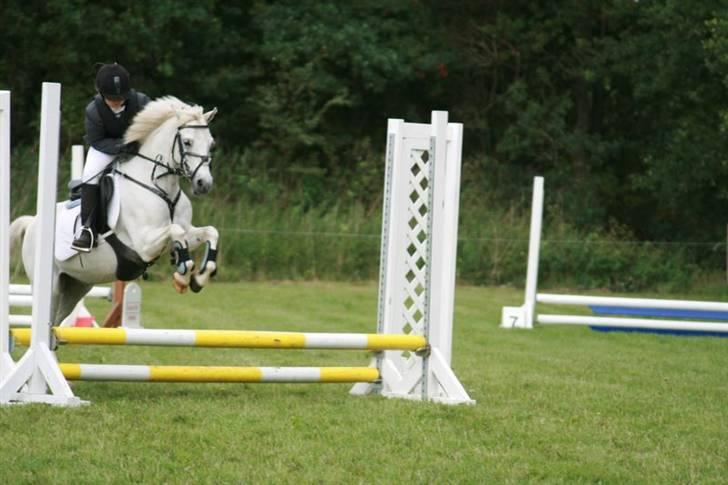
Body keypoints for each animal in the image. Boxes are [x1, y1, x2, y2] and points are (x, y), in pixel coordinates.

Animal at [9, 96, 220, 325]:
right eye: (188, 142)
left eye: (211, 144)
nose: (204, 184)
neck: (160, 187)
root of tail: (32, 223)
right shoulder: (144, 244)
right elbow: (175, 231)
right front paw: (182, 276)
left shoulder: (186, 231)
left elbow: (210, 232)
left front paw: (198, 278)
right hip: (51, 288)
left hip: (76, 286)